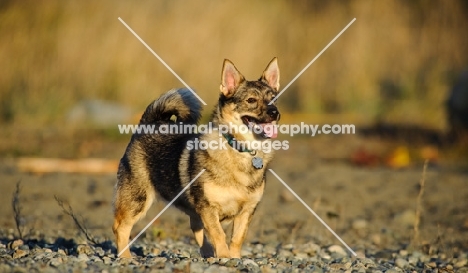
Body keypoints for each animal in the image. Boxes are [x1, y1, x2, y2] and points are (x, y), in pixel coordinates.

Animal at [113, 57, 282, 258]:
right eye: (251, 100)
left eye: (274, 100)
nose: (275, 112)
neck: (241, 150)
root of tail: (149, 123)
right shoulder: (208, 208)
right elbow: (219, 234)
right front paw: (225, 257)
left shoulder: (247, 211)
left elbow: (237, 238)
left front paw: (234, 257)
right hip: (137, 199)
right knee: (120, 227)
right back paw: (125, 258)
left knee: (197, 231)